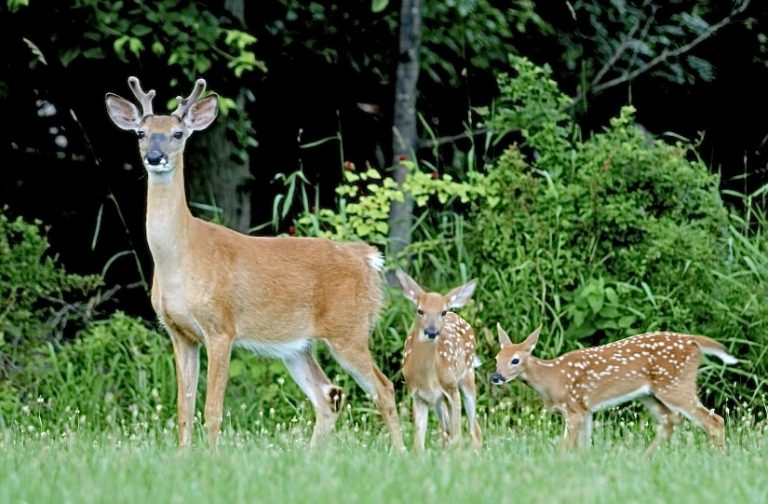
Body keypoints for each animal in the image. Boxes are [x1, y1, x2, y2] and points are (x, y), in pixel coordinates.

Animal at [104, 76, 404, 451]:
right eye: (141, 133)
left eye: (177, 133)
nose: (154, 157)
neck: (182, 258)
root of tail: (366, 258)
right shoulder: (179, 333)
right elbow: (183, 408)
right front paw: (183, 457)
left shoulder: (221, 327)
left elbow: (212, 409)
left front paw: (211, 457)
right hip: (297, 345)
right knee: (328, 395)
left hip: (349, 328)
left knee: (384, 388)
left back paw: (405, 452)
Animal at [395, 270, 482, 452]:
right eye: (420, 311)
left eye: (442, 312)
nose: (432, 331)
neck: (427, 378)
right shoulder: (417, 395)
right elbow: (418, 444)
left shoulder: (451, 389)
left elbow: (458, 437)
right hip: (438, 402)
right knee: (445, 430)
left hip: (467, 377)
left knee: (473, 429)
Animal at [492, 325, 738, 454]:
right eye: (496, 358)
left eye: (515, 360)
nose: (496, 377)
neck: (552, 378)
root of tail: (693, 341)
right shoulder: (586, 410)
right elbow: (583, 447)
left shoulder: (574, 408)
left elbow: (565, 446)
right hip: (650, 394)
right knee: (669, 421)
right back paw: (642, 459)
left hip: (675, 384)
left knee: (714, 420)